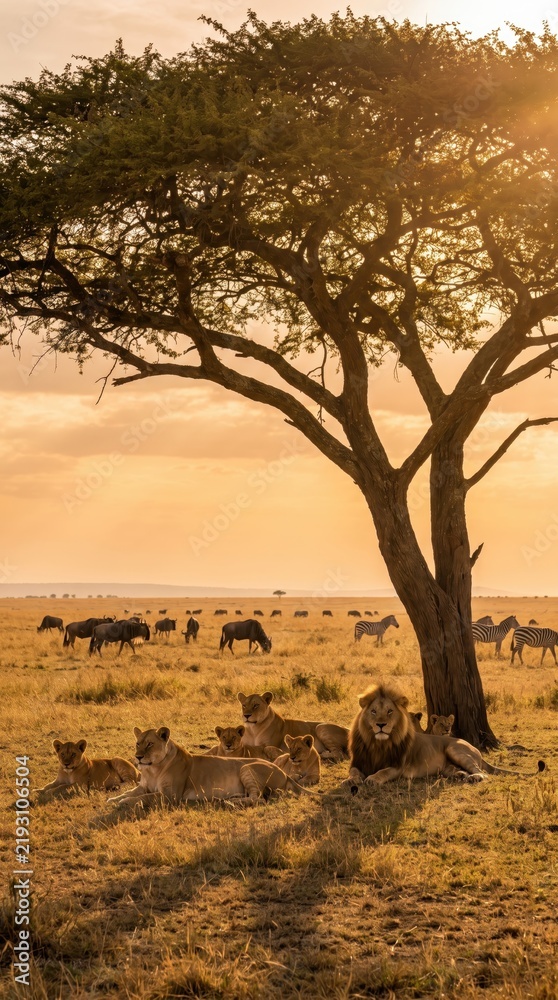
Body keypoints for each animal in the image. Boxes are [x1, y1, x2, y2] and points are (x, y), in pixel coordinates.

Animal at [106, 726, 315, 814]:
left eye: (149, 744)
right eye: (138, 743)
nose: (138, 757)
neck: (153, 769)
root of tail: (284, 772)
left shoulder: (170, 796)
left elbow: (143, 798)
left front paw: (124, 803)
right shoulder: (144, 786)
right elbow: (132, 792)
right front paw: (113, 799)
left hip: (246, 767)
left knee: (259, 799)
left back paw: (230, 803)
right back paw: (231, 798)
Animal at [347, 684, 544, 787]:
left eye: (389, 711)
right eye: (373, 711)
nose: (381, 725)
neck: (377, 744)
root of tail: (476, 749)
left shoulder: (398, 767)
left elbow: (384, 771)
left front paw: (372, 778)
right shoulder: (358, 761)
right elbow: (353, 772)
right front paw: (353, 780)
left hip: (455, 749)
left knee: (482, 773)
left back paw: (473, 777)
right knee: (458, 770)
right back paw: (460, 775)